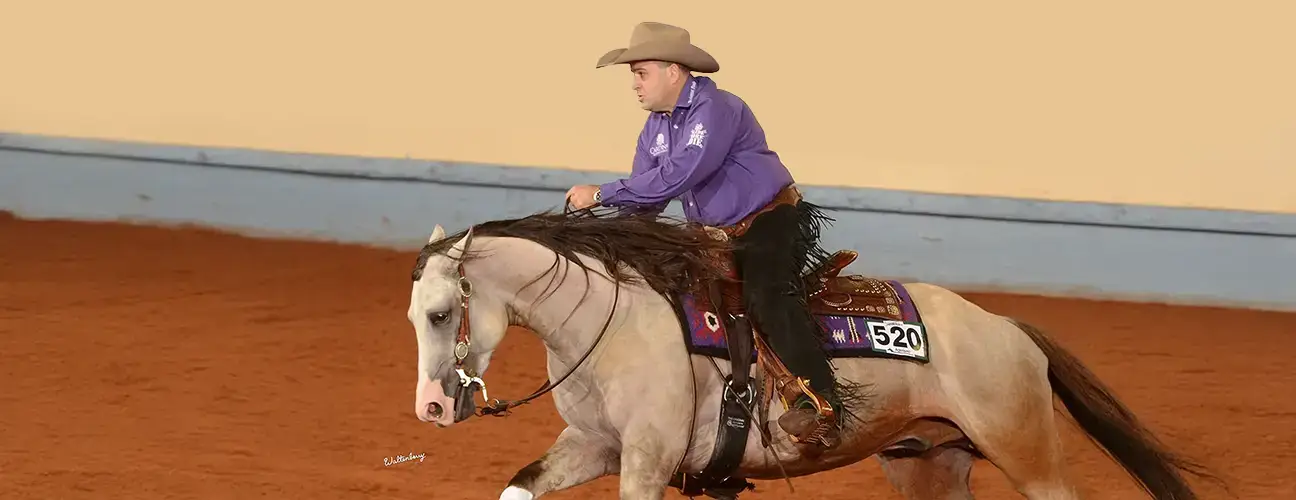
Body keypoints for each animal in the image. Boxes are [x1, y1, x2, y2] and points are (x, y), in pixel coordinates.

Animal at [405, 208, 1217, 500]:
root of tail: (1005, 329)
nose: (432, 408)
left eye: (443, 313)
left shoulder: (645, 462)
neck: (613, 321)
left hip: (1029, 455)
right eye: (412, 315)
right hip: (929, 462)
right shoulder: (595, 446)